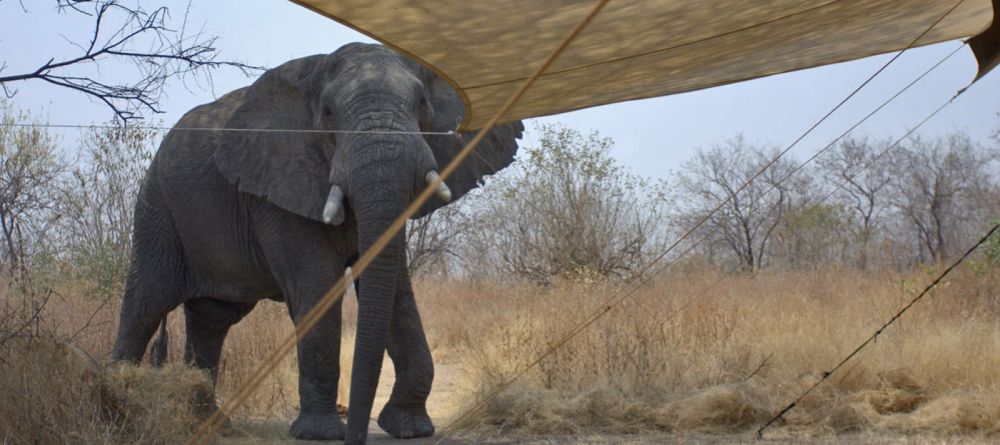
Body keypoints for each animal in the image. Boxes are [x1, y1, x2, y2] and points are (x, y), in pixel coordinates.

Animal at [111, 42, 524, 444]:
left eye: (422, 103)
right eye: (327, 113)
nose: (358, 435)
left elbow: (395, 290)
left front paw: (410, 428)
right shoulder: (277, 181)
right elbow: (318, 283)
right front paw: (320, 434)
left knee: (212, 319)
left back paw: (210, 424)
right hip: (156, 207)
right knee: (146, 303)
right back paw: (117, 403)